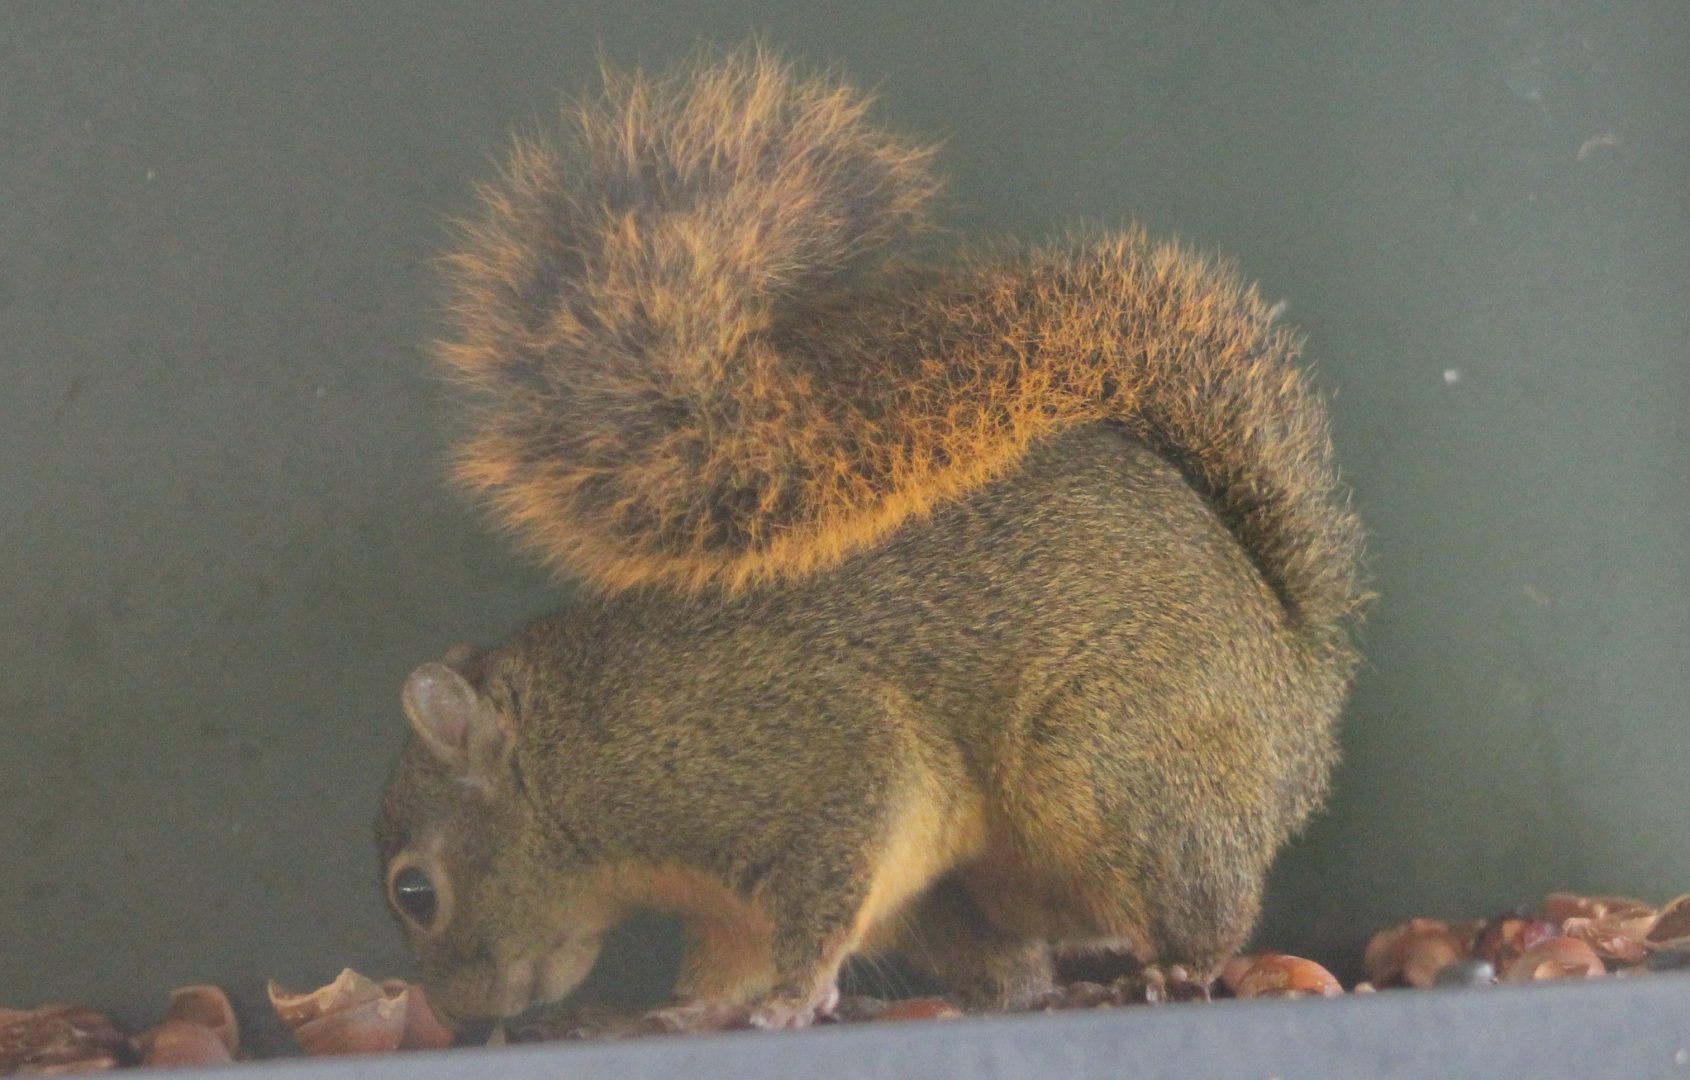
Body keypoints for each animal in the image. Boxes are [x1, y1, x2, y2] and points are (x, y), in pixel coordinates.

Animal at [374, 46, 1368, 1029]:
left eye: (415, 892)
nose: (458, 1011)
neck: (569, 749)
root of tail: (1301, 677)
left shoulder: (795, 760)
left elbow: (826, 888)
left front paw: (786, 998)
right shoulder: (727, 902)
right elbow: (730, 961)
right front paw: (688, 1012)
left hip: (1111, 759)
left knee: (1202, 904)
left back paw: (1173, 969)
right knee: (1015, 964)